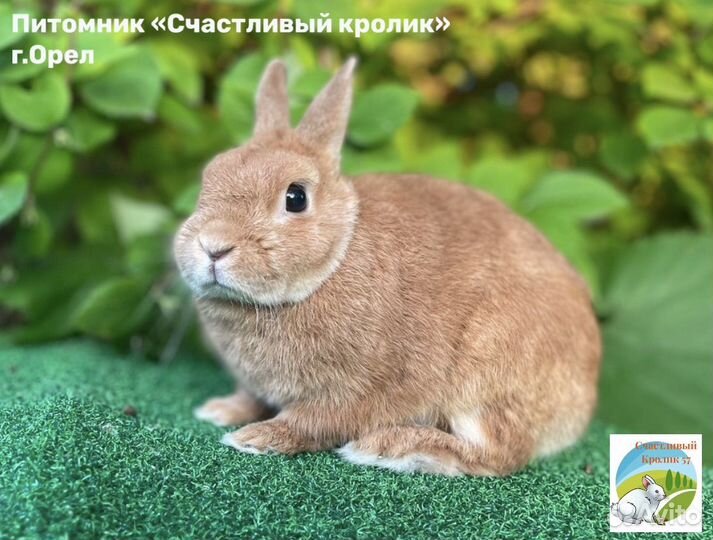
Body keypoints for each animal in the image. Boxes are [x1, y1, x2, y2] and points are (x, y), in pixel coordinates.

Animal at [174, 57, 601, 476]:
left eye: (295, 197)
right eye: (209, 177)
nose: (213, 245)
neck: (332, 264)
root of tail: (583, 402)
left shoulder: (356, 392)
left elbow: (312, 422)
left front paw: (256, 438)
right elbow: (252, 397)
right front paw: (220, 410)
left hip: (485, 374)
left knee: (502, 454)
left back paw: (389, 448)